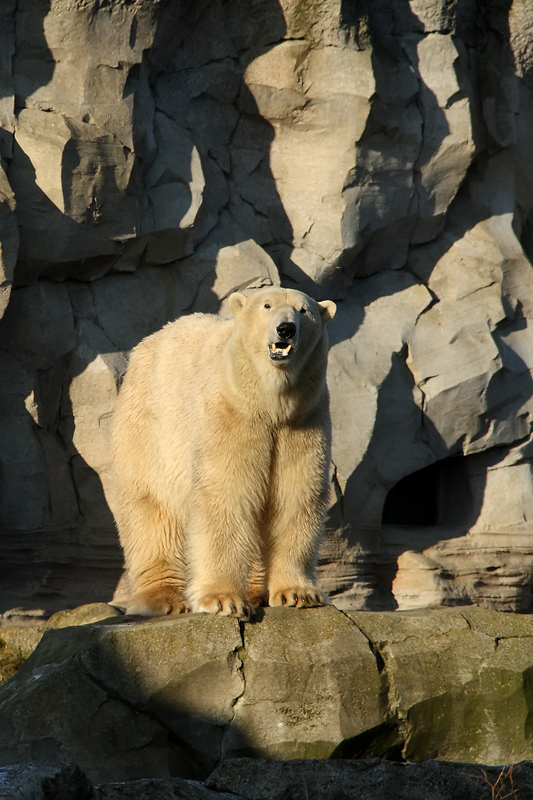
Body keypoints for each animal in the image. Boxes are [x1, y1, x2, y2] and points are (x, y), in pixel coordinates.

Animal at [111, 288, 336, 620]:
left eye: (303, 310)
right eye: (266, 305)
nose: (285, 329)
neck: (268, 404)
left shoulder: (302, 422)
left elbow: (294, 497)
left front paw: (299, 593)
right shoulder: (230, 413)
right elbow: (227, 493)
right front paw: (222, 599)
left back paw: (256, 590)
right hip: (148, 431)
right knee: (152, 509)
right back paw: (162, 598)